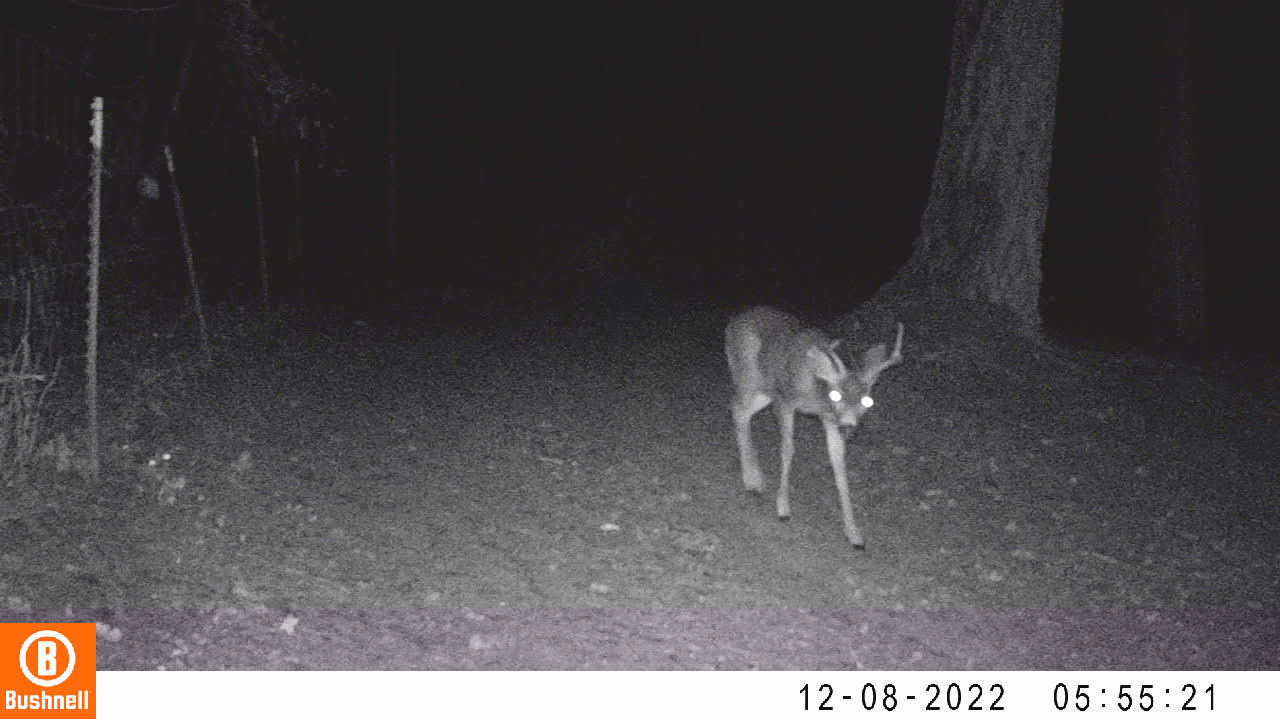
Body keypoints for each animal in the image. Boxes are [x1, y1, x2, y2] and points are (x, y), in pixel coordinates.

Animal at [727, 304, 906, 545]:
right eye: (836, 395)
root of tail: (733, 321)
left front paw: (854, 533)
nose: (849, 425)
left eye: (867, 401)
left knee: (742, 412)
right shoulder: (785, 399)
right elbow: (787, 449)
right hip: (749, 376)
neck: (816, 394)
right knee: (737, 406)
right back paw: (751, 480)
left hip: (764, 391)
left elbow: (838, 464)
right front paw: (783, 507)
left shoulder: (829, 419)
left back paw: (755, 479)